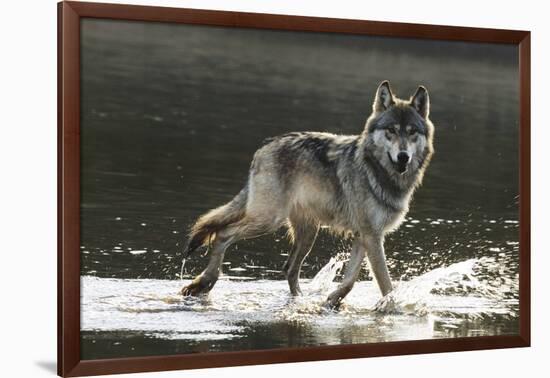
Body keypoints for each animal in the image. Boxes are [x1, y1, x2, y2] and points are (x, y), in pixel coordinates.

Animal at [181, 81, 436, 308]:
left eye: (412, 132)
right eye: (391, 131)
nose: (403, 157)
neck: (378, 172)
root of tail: (264, 147)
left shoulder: (364, 235)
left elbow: (350, 281)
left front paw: (332, 301)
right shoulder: (372, 237)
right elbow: (386, 284)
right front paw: (393, 310)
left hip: (307, 233)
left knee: (289, 268)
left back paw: (299, 300)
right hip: (269, 221)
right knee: (223, 234)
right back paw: (204, 283)